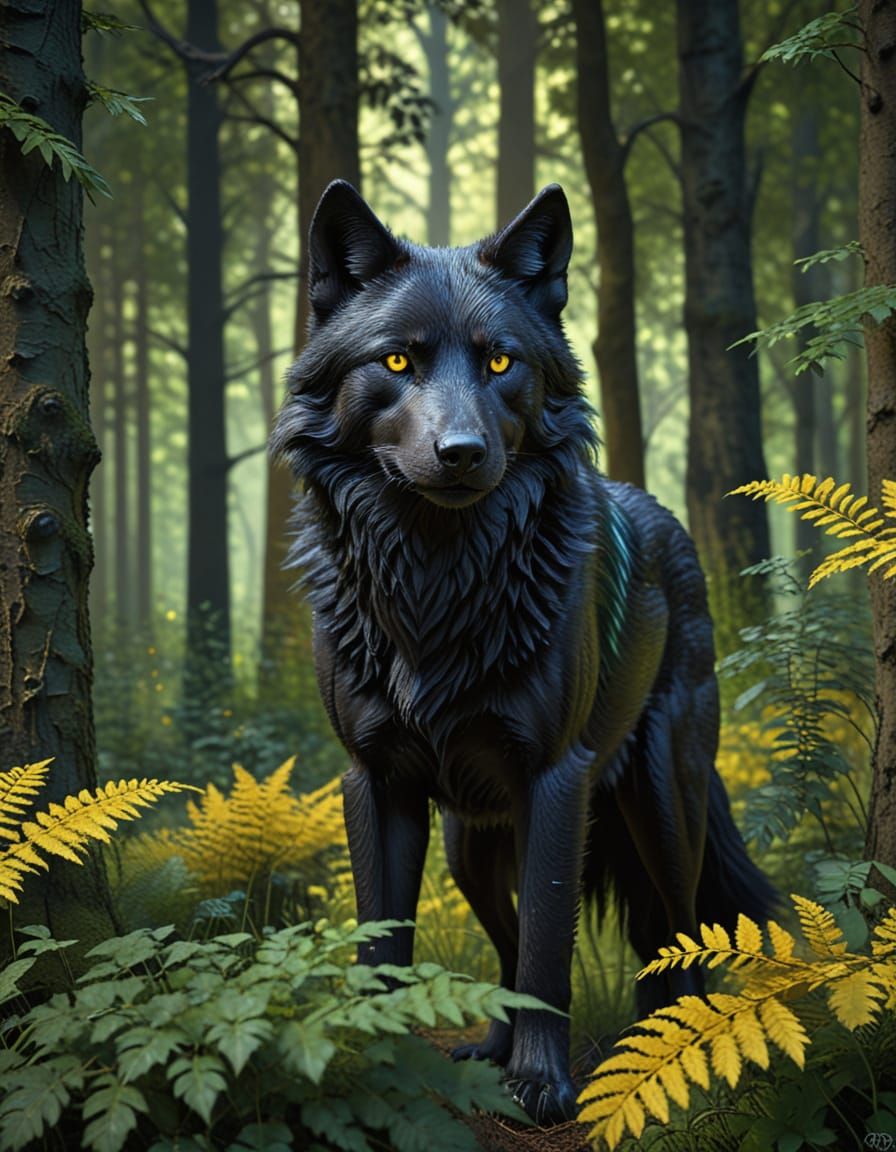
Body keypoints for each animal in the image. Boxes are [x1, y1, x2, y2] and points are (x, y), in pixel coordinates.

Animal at [271, 181, 775, 1126]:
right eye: (398, 362)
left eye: (502, 362)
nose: (463, 453)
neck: (436, 581)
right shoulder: (377, 781)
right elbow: (386, 944)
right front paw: (384, 1064)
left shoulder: (555, 780)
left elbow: (548, 947)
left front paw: (543, 1084)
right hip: (469, 845)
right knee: (508, 937)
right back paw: (495, 1047)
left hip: (663, 806)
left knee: (678, 925)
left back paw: (672, 1043)